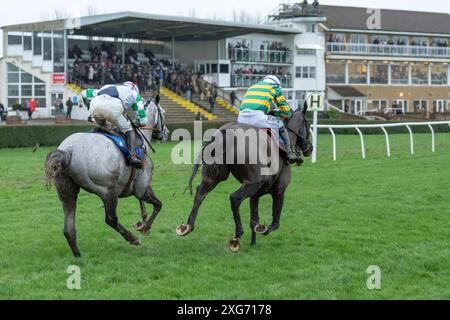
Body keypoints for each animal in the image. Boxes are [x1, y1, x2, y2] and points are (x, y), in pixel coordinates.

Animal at [44, 97, 168, 258]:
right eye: (163, 113)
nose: (166, 133)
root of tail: (67, 151)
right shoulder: (141, 188)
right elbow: (158, 204)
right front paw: (145, 226)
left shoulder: (140, 186)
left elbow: (149, 204)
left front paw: (142, 222)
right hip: (109, 192)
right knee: (111, 219)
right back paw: (132, 238)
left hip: (67, 192)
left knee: (68, 229)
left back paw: (78, 256)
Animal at [177, 105, 312, 252]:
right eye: (308, 124)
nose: (310, 148)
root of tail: (227, 132)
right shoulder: (279, 190)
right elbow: (274, 222)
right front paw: (262, 229)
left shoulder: (255, 195)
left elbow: (254, 220)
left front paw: (253, 243)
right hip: (253, 183)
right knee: (234, 198)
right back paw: (237, 236)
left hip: (214, 177)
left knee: (200, 193)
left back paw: (188, 226)